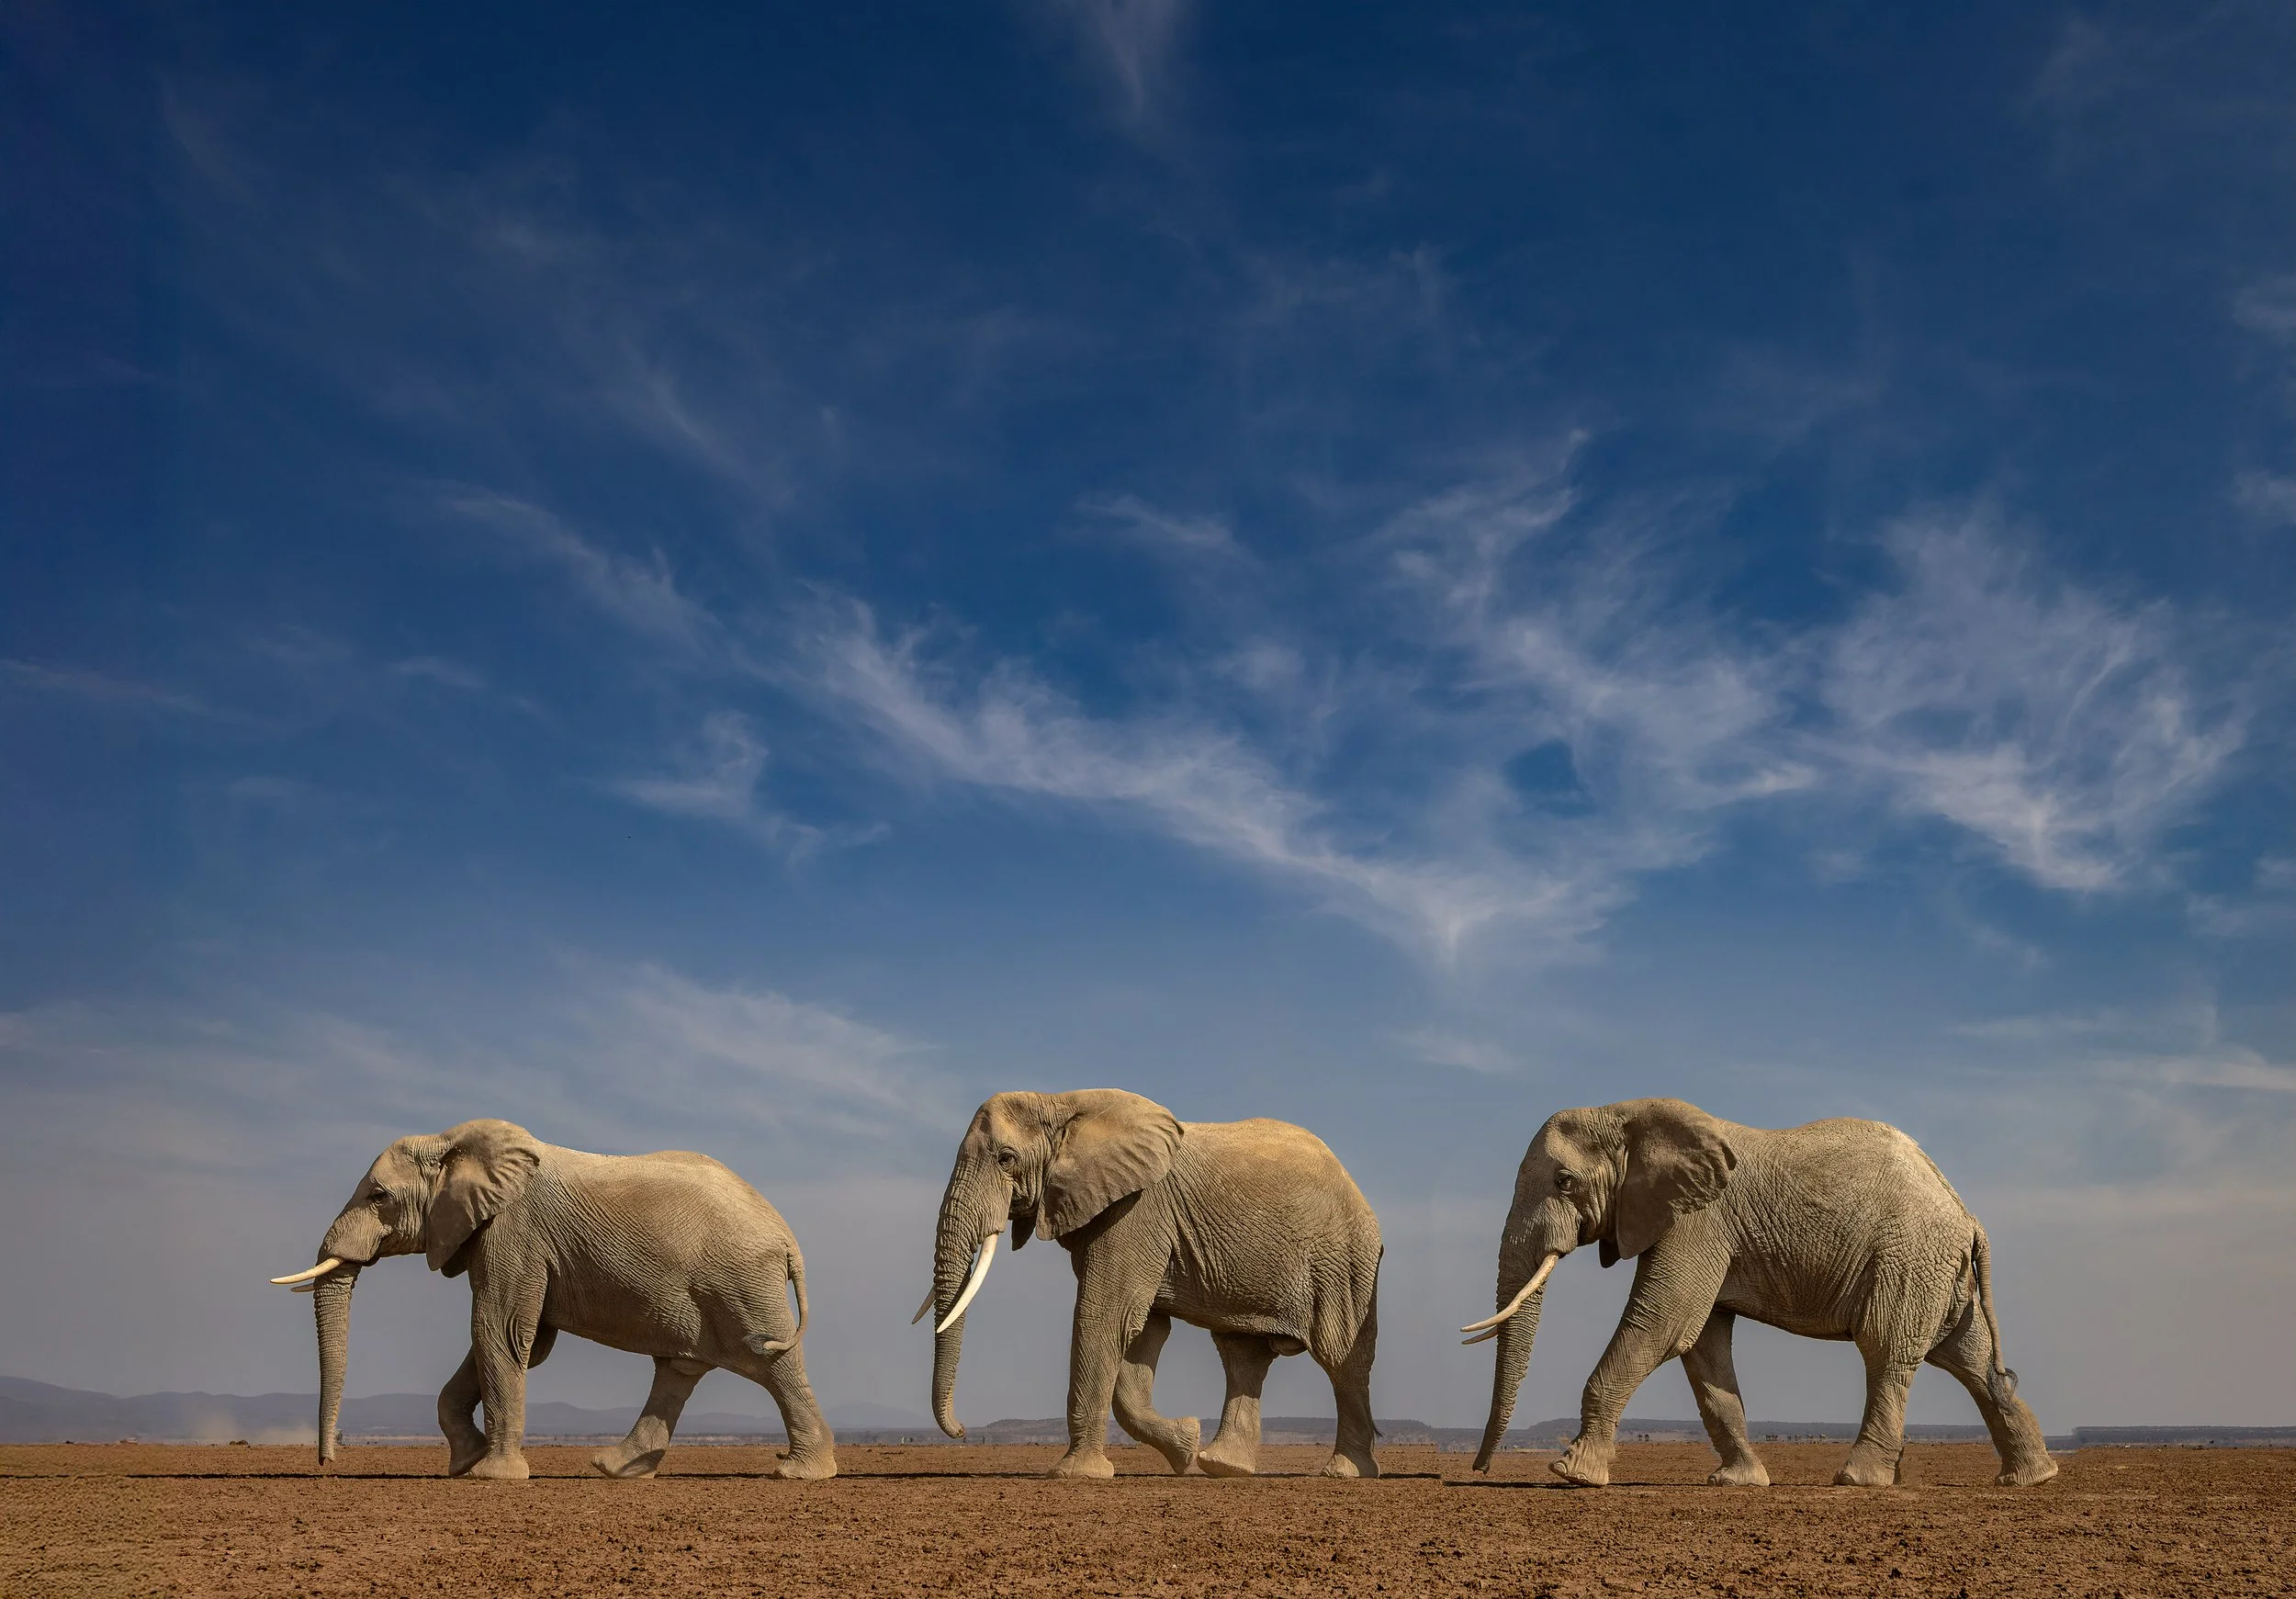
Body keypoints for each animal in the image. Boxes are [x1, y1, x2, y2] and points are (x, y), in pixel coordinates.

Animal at [269, 1118, 836, 1481]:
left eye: (378, 1196)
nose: (327, 1465)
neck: (453, 1142)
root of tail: (787, 1237)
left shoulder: (513, 1233)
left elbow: (498, 1331)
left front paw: (494, 1476)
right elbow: (522, 1342)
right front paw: (464, 1464)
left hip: (741, 1282)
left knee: (771, 1364)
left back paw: (802, 1474)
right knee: (679, 1369)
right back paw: (615, 1470)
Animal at [923, 1089, 1384, 1479]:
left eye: (1005, 1159)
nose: (962, 1430)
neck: (1061, 1101)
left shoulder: (1138, 1209)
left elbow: (1105, 1315)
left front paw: (1074, 1476)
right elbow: (1142, 1331)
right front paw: (1185, 1446)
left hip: (1343, 1260)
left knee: (1341, 1357)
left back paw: (1344, 1473)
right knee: (1242, 1355)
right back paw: (1222, 1467)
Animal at [1465, 1097, 2056, 1490]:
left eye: (1564, 1181)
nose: (1478, 1470)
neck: (1628, 1113)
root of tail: (1967, 1214)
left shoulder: (1697, 1220)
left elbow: (1662, 1324)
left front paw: (1573, 1473)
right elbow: (1702, 1347)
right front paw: (1739, 1482)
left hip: (1909, 1260)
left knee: (1887, 1352)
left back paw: (1857, 1480)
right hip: (1940, 1272)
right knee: (1972, 1362)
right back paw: (2030, 1479)